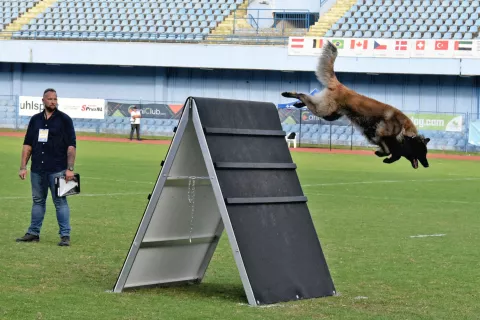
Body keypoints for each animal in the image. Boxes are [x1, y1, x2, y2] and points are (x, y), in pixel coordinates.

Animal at [282, 40, 432, 168]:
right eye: (422, 152)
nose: (427, 165)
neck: (404, 131)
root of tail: (340, 85)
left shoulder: (374, 135)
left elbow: (394, 152)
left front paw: (385, 156)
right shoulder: (380, 134)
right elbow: (390, 150)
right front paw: (383, 154)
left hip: (330, 115)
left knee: (309, 99)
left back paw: (297, 104)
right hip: (324, 110)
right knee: (304, 96)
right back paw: (289, 94)